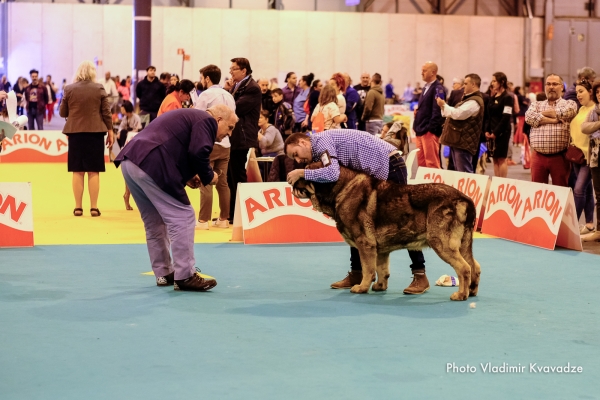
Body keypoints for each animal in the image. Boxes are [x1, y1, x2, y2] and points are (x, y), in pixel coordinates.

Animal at [296, 163, 482, 300]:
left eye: (305, 173)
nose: (291, 179)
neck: (341, 188)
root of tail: (465, 199)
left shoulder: (365, 244)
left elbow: (368, 269)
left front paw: (362, 287)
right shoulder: (380, 250)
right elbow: (382, 269)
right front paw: (380, 286)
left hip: (441, 243)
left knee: (464, 268)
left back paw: (461, 294)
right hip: (463, 244)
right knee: (475, 266)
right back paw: (472, 291)